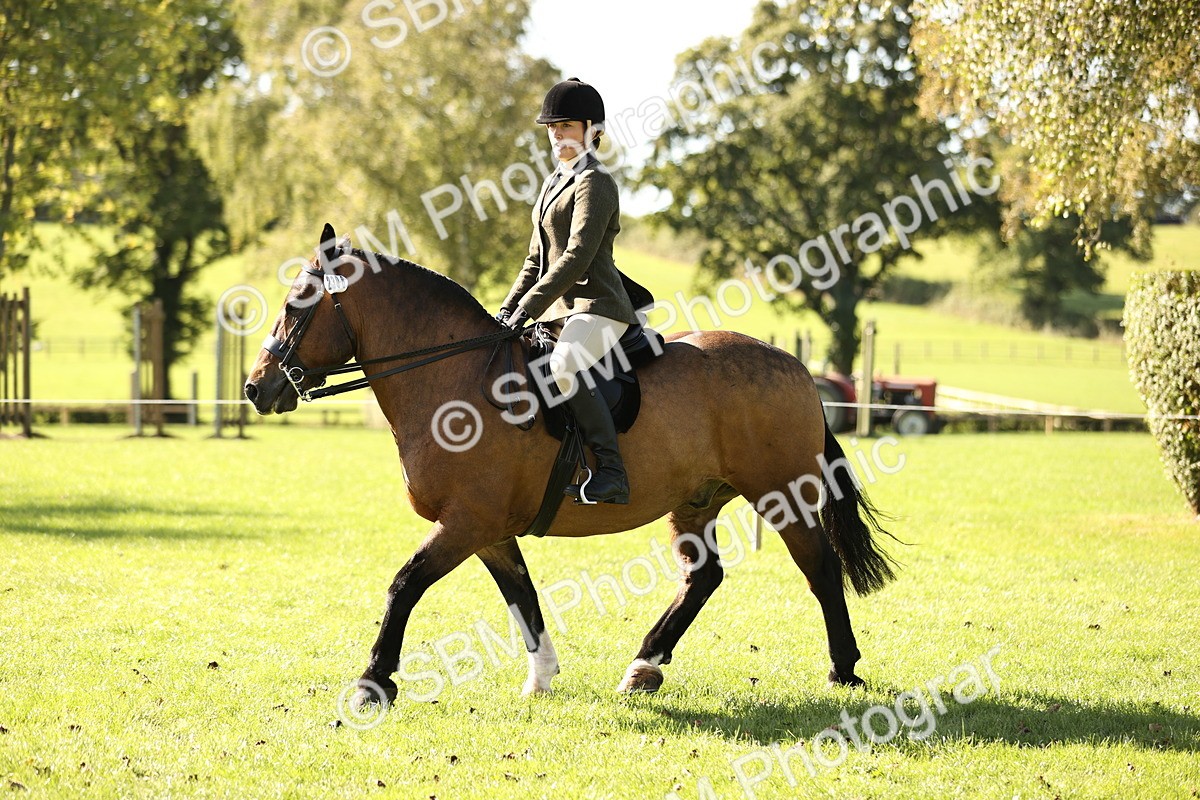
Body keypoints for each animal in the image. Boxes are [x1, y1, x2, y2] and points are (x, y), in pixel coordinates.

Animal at [243, 224, 898, 709]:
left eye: (296, 305)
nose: (256, 388)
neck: (454, 378)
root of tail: (793, 365)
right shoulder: (488, 529)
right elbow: (522, 596)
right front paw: (541, 676)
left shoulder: (467, 522)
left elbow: (404, 584)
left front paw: (373, 683)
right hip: (696, 501)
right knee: (703, 577)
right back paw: (643, 667)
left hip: (782, 493)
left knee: (820, 569)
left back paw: (843, 670)